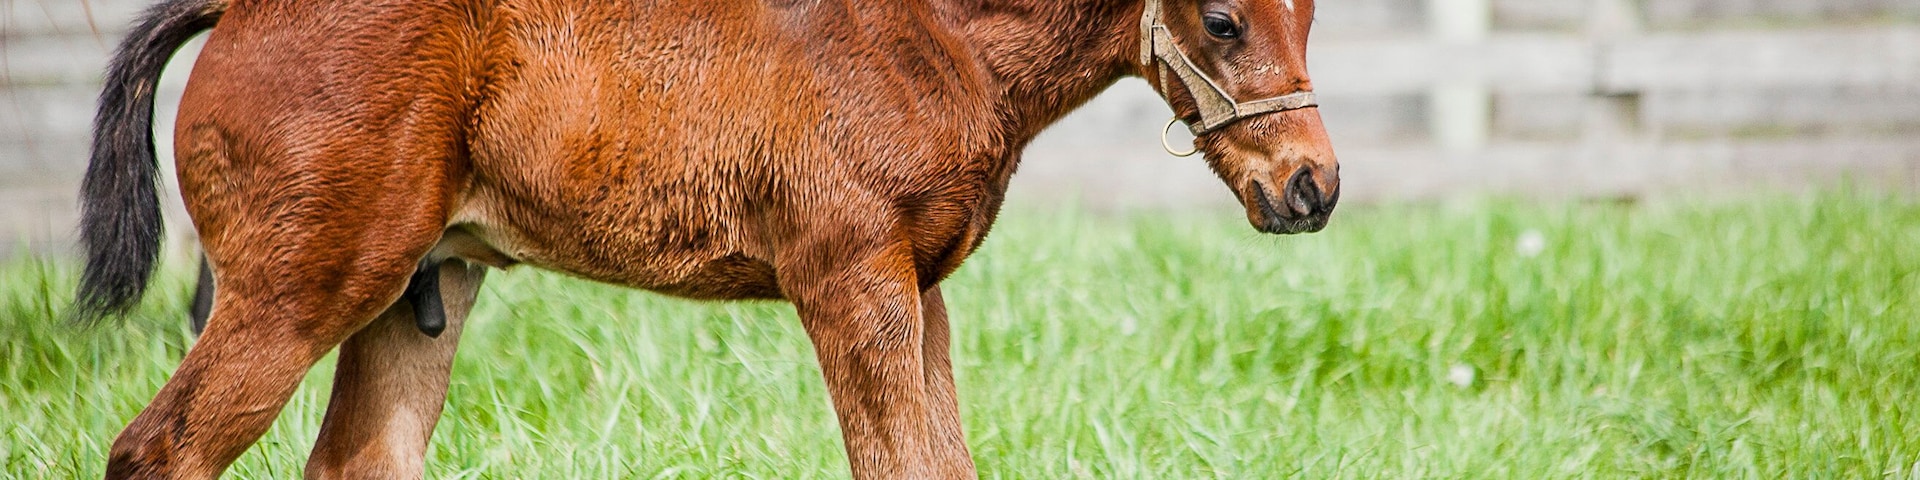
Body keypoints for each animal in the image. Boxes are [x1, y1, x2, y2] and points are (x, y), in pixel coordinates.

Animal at [76, 0, 1339, 477]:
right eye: (1223, 20)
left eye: (1310, 12)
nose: (1311, 187)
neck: (931, 36)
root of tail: (239, 12)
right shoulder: (849, 283)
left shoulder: (918, 288)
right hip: (297, 292)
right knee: (157, 452)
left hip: (419, 293)